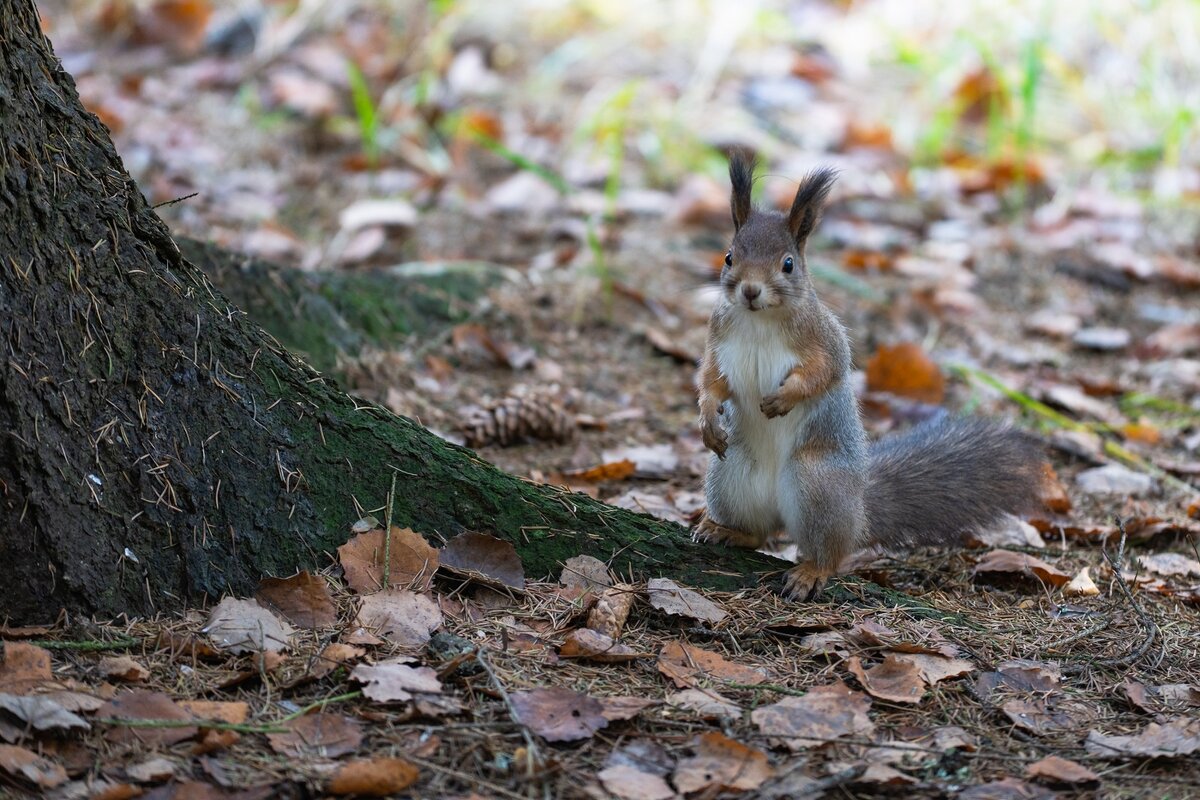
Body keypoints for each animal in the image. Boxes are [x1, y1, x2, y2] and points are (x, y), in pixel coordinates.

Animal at [696, 149, 1041, 599]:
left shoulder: (824, 339)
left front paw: (783, 399)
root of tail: (859, 509)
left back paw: (812, 571)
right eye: (729, 257)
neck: (759, 318)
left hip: (818, 483)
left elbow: (826, 372)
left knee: (831, 551)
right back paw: (726, 530)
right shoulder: (718, 337)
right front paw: (707, 418)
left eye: (788, 264)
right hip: (731, 477)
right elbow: (710, 378)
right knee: (759, 532)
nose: (750, 291)